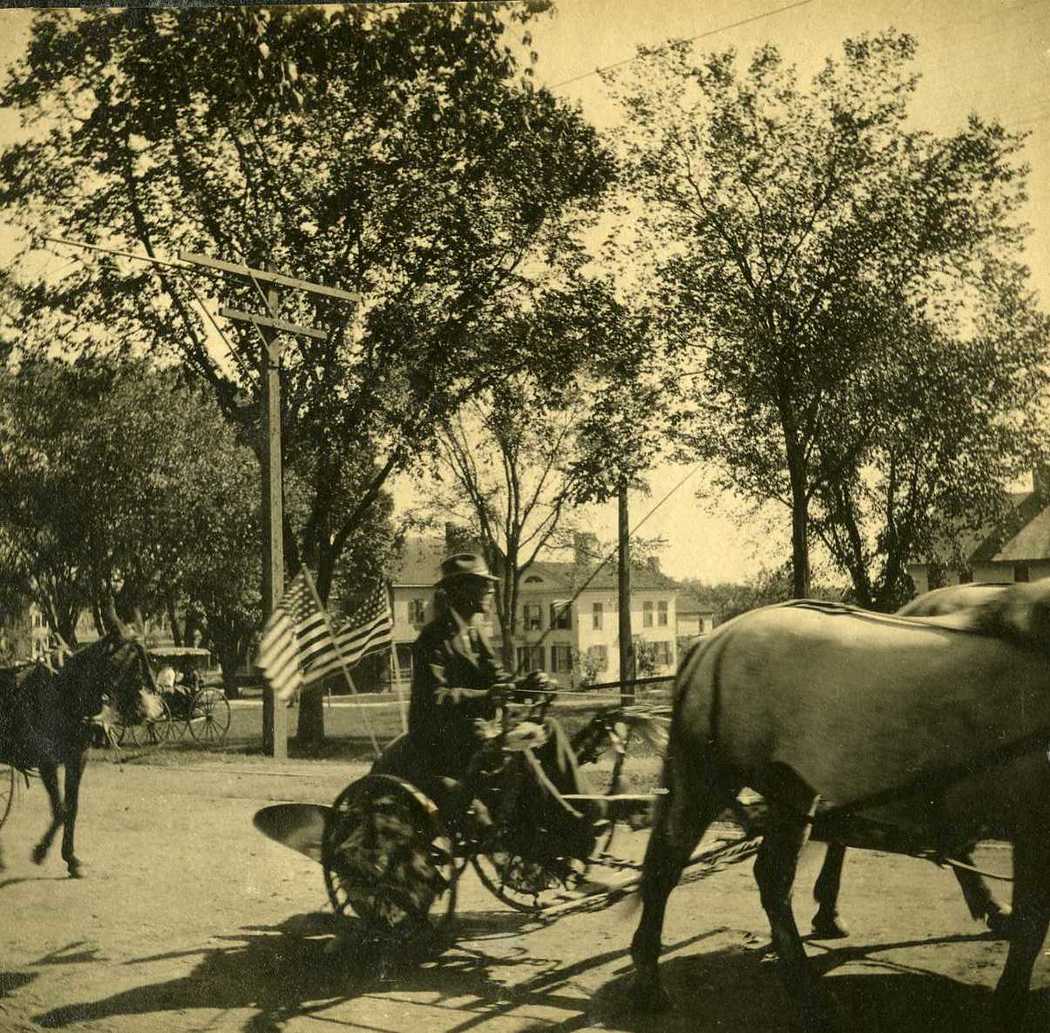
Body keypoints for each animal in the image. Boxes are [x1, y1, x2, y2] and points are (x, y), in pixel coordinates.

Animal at [0, 613, 162, 877]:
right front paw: (41, 851)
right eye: (126, 660)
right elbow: (60, 809)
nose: (149, 708)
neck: (64, 693)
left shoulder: (77, 757)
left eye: (147, 657)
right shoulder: (47, 761)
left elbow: (71, 807)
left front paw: (71, 858)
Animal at [625, 579, 1050, 1033]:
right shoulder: (1034, 823)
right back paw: (650, 981)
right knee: (667, 865)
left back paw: (804, 985)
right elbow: (1032, 922)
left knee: (772, 878)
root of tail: (714, 640)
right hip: (707, 775)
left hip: (790, 786)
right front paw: (1008, 1003)